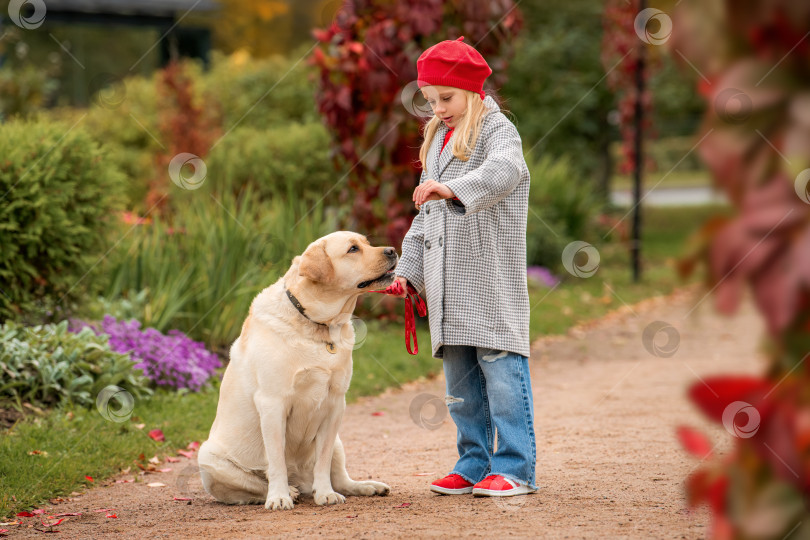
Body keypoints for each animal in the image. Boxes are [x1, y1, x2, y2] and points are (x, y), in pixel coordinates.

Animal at [197, 232, 396, 510]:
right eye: (353, 249)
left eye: (366, 243)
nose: (392, 250)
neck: (320, 326)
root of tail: (301, 481)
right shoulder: (273, 403)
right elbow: (276, 460)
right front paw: (279, 497)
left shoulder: (336, 404)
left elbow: (323, 461)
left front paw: (325, 493)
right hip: (208, 457)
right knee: (254, 486)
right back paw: (287, 491)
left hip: (338, 441)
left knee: (341, 479)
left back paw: (367, 486)